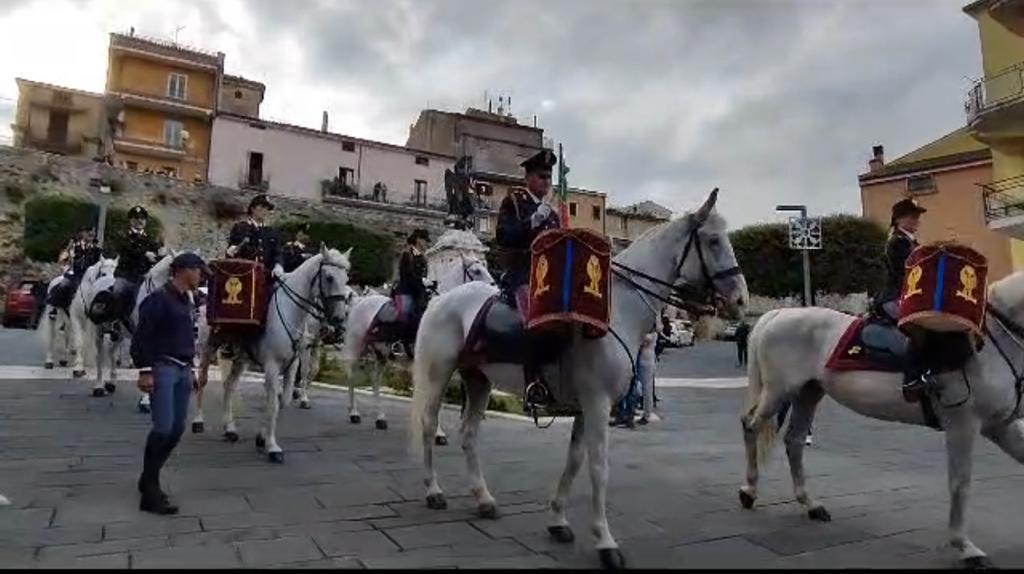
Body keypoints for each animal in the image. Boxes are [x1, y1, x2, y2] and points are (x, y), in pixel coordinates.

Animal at [191, 246, 352, 460]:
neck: (291, 312)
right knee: (202, 381)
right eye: (329, 277)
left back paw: (230, 428)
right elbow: (273, 404)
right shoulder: (272, 366)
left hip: (241, 360)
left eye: (346, 278)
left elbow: (283, 401)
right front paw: (272, 446)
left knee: (229, 386)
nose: (339, 319)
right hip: (206, 349)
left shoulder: (292, 365)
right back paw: (198, 420)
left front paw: (261, 437)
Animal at [342, 248, 493, 431]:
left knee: (375, 381)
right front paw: (437, 432)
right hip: (356, 347)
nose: (495, 287)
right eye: (477, 271)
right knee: (351, 377)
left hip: (381, 355)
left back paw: (380, 418)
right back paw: (354, 413)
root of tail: (359, 302)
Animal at [737, 272, 1024, 568]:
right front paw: (966, 548)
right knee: (751, 427)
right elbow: (960, 483)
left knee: (794, 441)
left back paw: (811, 504)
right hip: (778, 391)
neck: (989, 346)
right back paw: (749, 491)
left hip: (808, 393)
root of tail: (778, 314)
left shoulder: (1000, 426)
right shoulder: (963, 423)